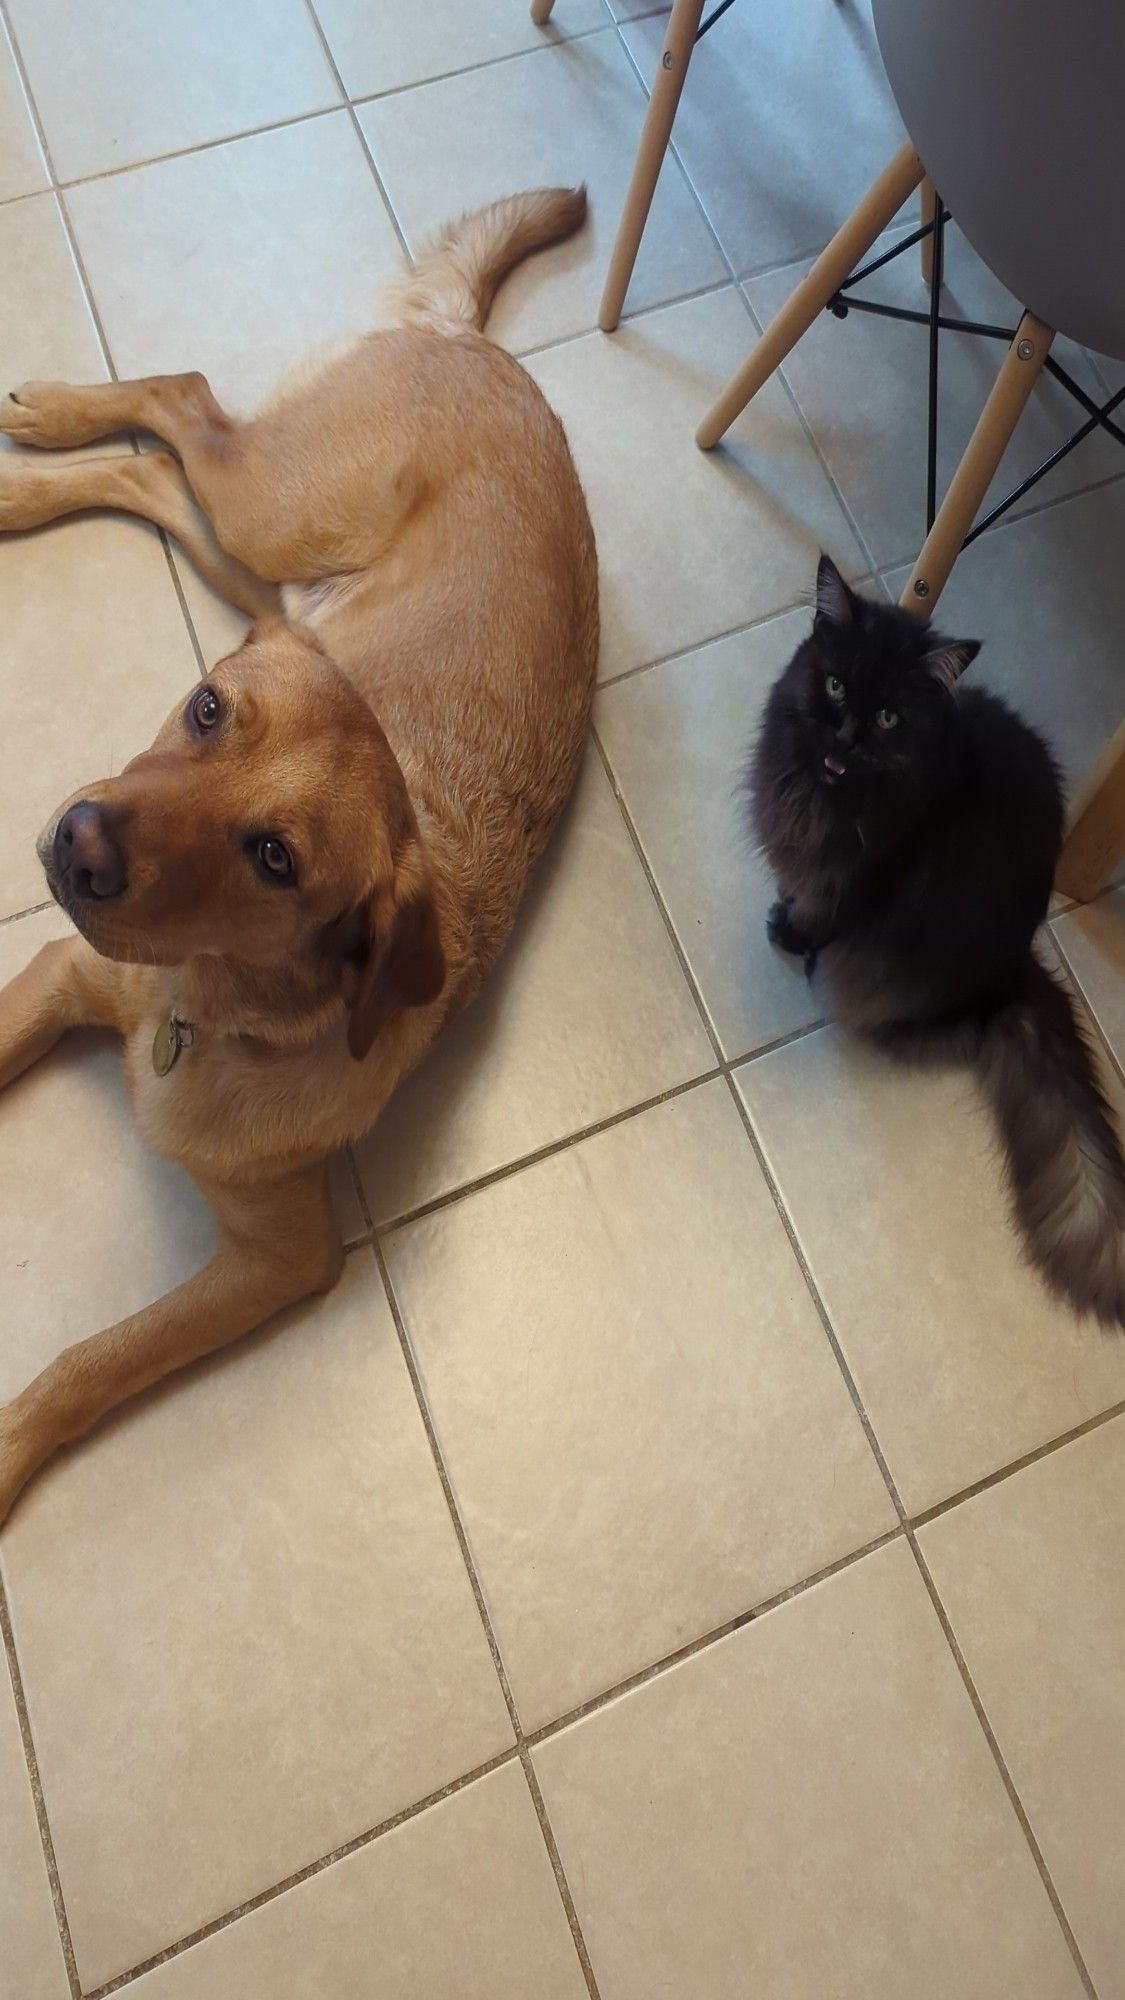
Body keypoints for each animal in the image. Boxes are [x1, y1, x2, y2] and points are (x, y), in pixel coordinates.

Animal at [0, 195, 596, 1520]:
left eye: (273, 856)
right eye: (206, 711)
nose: (76, 842)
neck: (196, 1008)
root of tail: (484, 348)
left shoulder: (275, 1259)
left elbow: (90, 1360)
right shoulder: (58, 974)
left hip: (253, 554)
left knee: (166, 452)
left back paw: (27, 473)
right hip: (269, 534)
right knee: (181, 406)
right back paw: (43, 433)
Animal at [744, 552, 1120, 1328]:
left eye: (887, 715)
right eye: (835, 685)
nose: (846, 737)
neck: (832, 799)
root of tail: (1011, 976)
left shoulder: (854, 888)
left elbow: (816, 920)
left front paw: (788, 936)